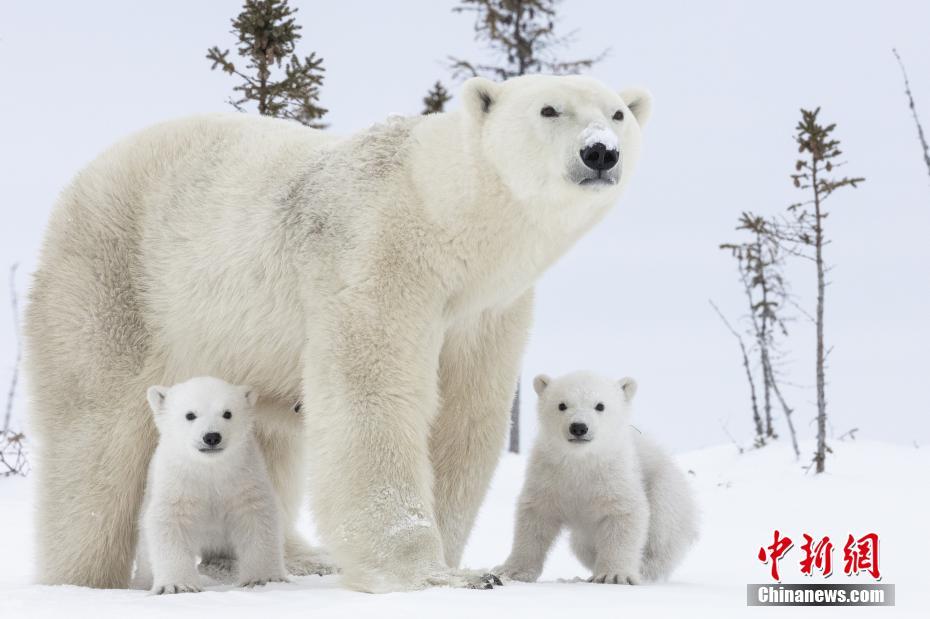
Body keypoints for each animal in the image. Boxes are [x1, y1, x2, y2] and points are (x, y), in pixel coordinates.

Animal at [133, 376, 288, 594]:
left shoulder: (244, 477)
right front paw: (178, 585)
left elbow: (256, 517)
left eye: (227, 413)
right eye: (190, 415)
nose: (212, 436)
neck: (210, 469)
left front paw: (263, 579)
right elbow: (170, 522)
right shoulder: (178, 483)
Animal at [495, 371, 697, 584]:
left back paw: (646, 570)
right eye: (561, 405)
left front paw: (615, 575)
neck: (581, 460)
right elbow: (536, 518)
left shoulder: (615, 475)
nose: (578, 427)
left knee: (661, 530)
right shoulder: (548, 474)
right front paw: (512, 571)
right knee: (583, 546)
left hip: (666, 489)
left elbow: (624, 516)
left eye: (600, 405)